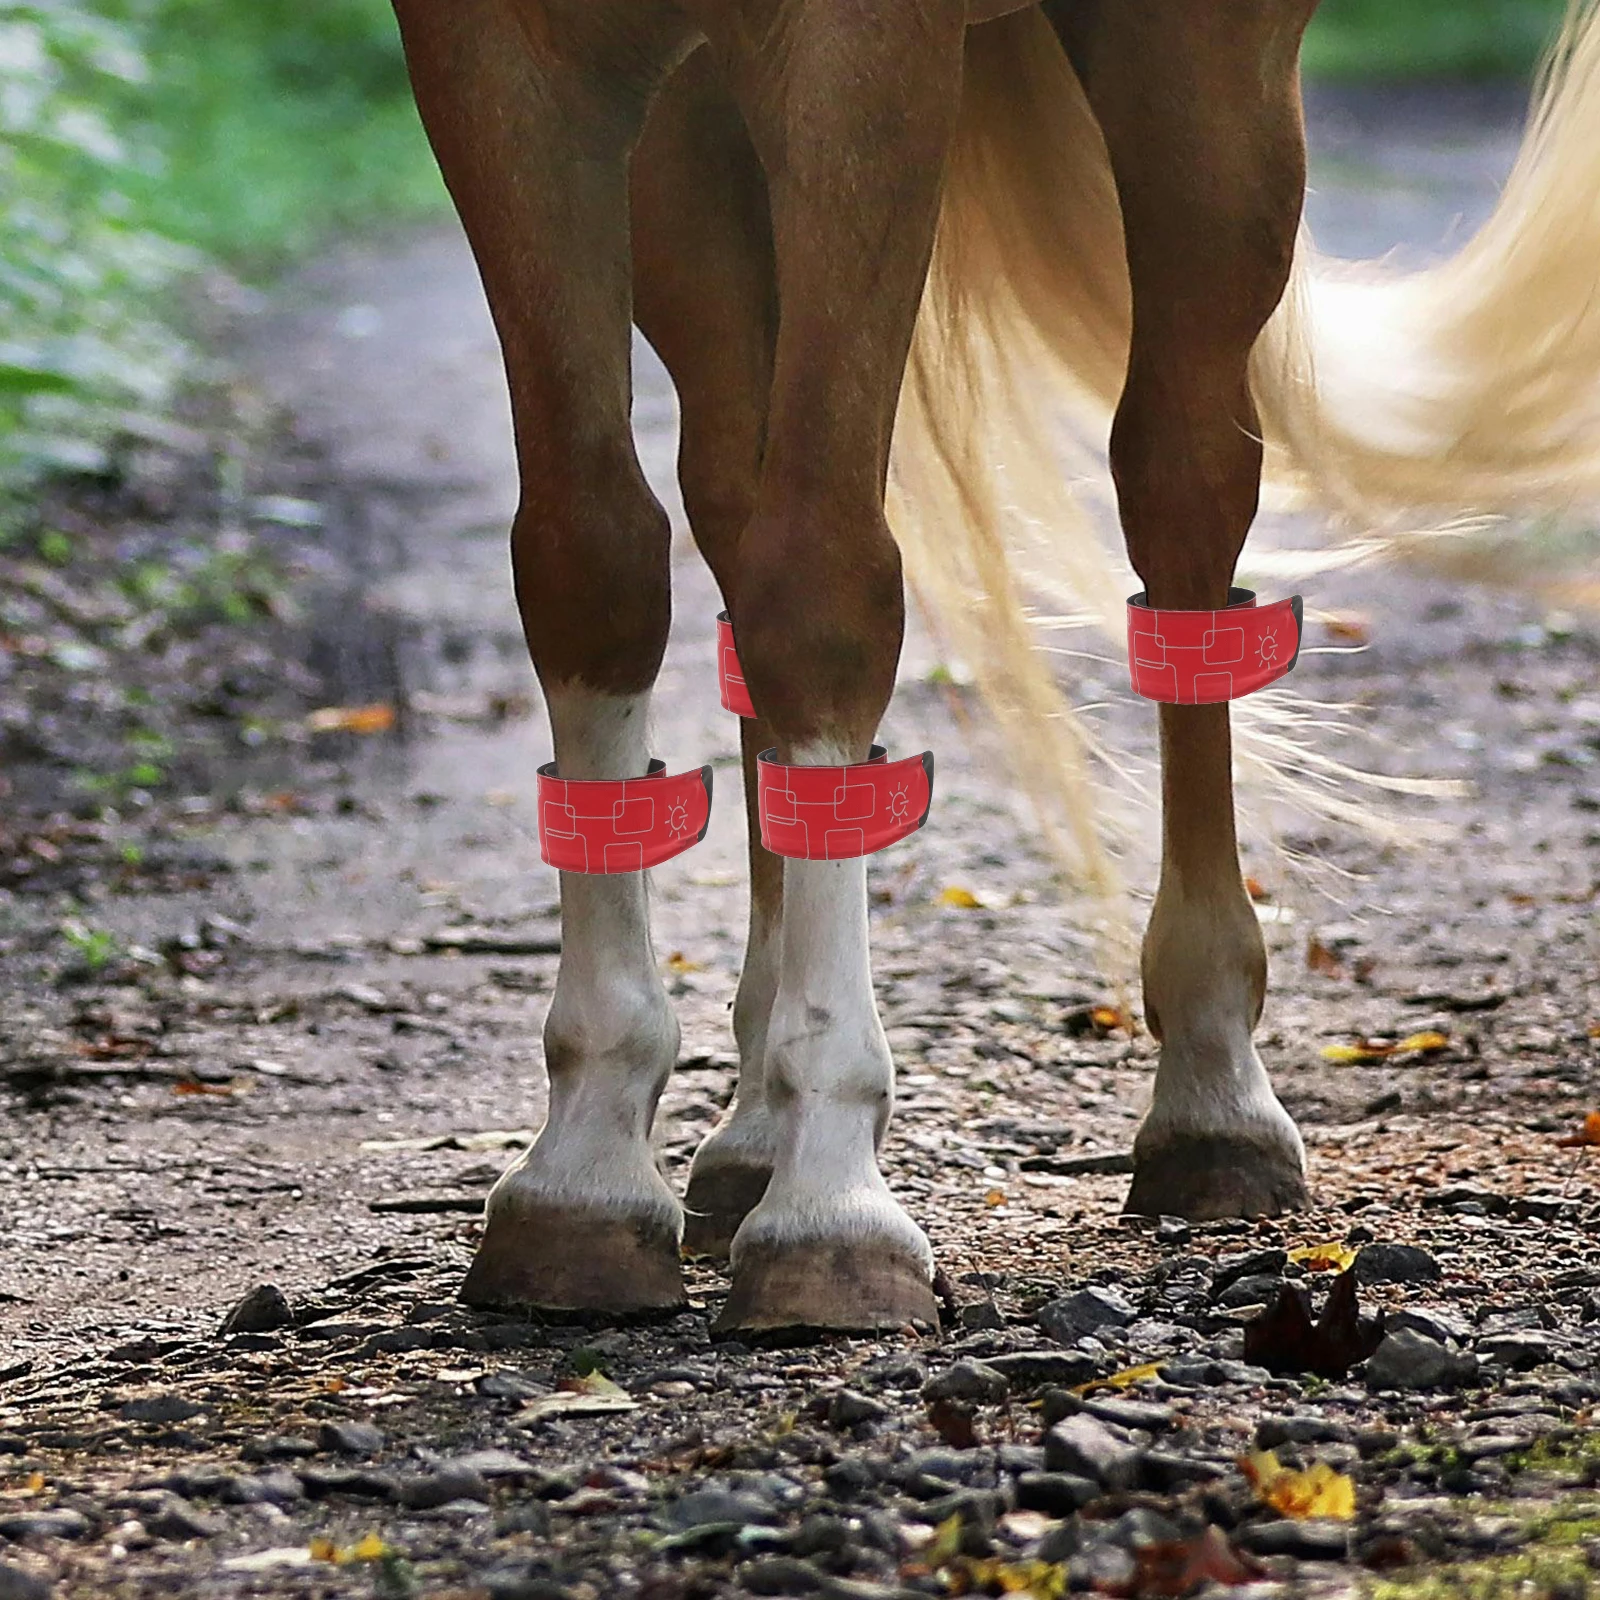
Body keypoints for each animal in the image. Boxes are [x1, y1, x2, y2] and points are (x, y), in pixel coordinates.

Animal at [388, 0, 1600, 1335]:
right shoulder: (496, 61)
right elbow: (588, 565)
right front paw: (585, 1171)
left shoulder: (856, 59)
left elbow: (820, 589)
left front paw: (829, 1205)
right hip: (691, 155)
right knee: (730, 508)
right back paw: (750, 1131)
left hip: (1202, 81)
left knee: (1180, 482)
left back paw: (1211, 1098)